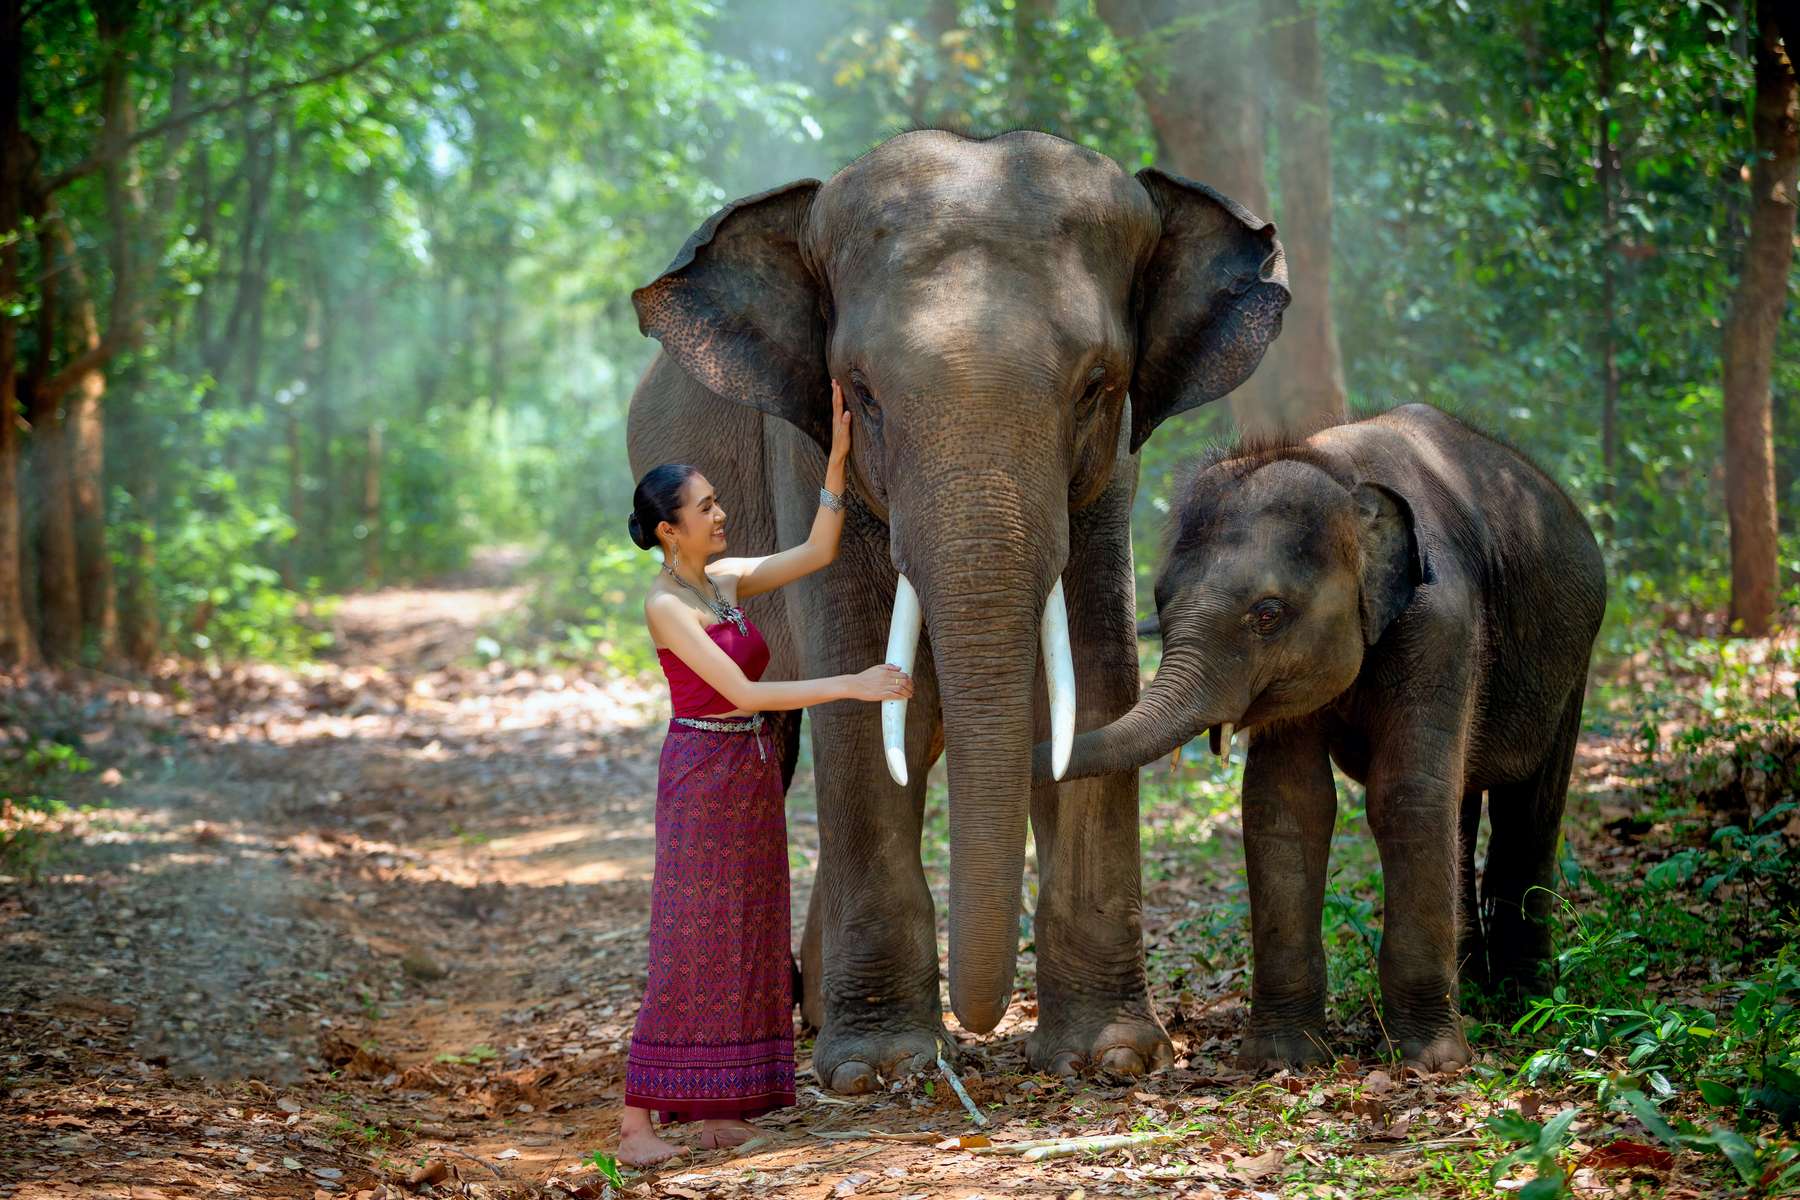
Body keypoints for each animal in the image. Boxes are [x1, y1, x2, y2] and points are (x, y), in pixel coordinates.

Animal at [625, 130, 1290, 1091]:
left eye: (1096, 385)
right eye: (858, 393)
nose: (977, 1029)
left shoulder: (1110, 483)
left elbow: (1091, 689)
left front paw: (1114, 1057)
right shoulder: (804, 456)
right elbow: (858, 712)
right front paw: (876, 1070)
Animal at [1038, 403, 1606, 1072]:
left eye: (1268, 614)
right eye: (1161, 602)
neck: (1336, 471)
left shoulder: (1443, 619)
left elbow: (1406, 798)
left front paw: (1430, 1063)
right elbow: (1288, 804)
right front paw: (1280, 1061)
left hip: (1573, 660)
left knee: (1530, 809)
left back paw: (1522, 999)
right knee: (1463, 804)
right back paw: (1477, 987)